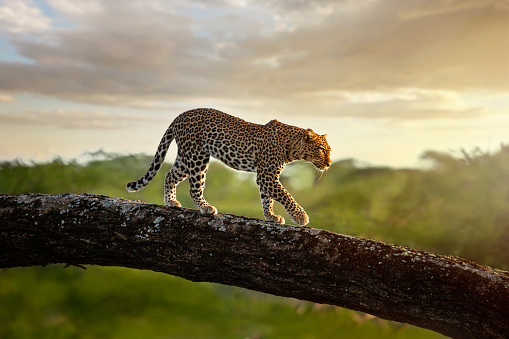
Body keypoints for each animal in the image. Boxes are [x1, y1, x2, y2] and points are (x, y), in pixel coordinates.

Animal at [125, 109, 332, 226]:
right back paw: (205, 208)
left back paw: (171, 202)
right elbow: (285, 195)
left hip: (185, 157)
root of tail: (180, 115)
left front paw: (271, 217)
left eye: (328, 150)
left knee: (169, 175)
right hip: (197, 156)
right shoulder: (267, 175)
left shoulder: (266, 176)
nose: (329, 164)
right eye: (322, 150)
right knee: (194, 188)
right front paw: (300, 217)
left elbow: (268, 199)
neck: (292, 148)